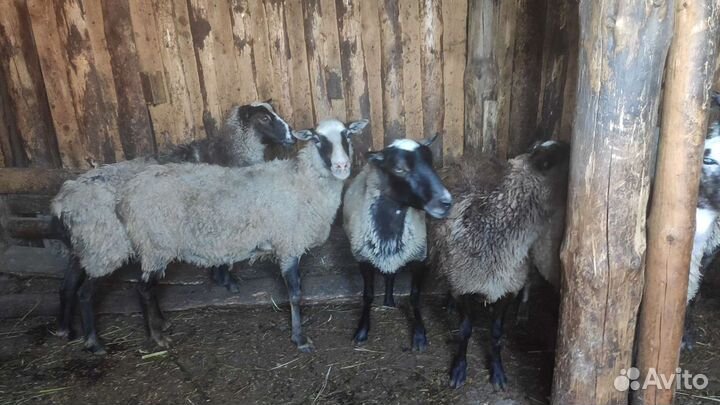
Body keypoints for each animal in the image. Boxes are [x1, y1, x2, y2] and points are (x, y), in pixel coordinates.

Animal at [52, 101, 295, 352]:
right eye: (264, 118)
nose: (292, 136)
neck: (229, 152)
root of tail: (62, 202)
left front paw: (220, 278)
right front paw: (227, 281)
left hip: (84, 247)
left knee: (66, 287)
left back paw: (65, 330)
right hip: (105, 247)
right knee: (85, 292)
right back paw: (94, 342)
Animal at [65, 118, 368, 354]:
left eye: (347, 135)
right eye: (317, 140)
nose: (342, 167)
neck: (302, 182)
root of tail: (128, 193)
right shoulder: (288, 244)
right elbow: (295, 294)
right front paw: (300, 338)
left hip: (149, 247)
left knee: (145, 289)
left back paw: (155, 326)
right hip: (136, 245)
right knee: (129, 290)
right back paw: (128, 339)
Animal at [342, 136, 452, 351]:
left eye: (431, 162)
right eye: (399, 169)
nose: (446, 202)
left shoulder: (419, 257)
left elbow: (415, 296)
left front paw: (419, 335)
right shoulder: (363, 259)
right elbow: (367, 295)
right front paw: (361, 330)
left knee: (390, 275)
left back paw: (390, 301)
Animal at [428, 140, 570, 389]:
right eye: (552, 158)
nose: (570, 145)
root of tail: (473, 155)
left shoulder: (507, 288)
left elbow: (496, 334)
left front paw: (498, 372)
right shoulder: (464, 286)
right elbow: (464, 330)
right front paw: (458, 370)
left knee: (529, 280)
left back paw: (523, 311)